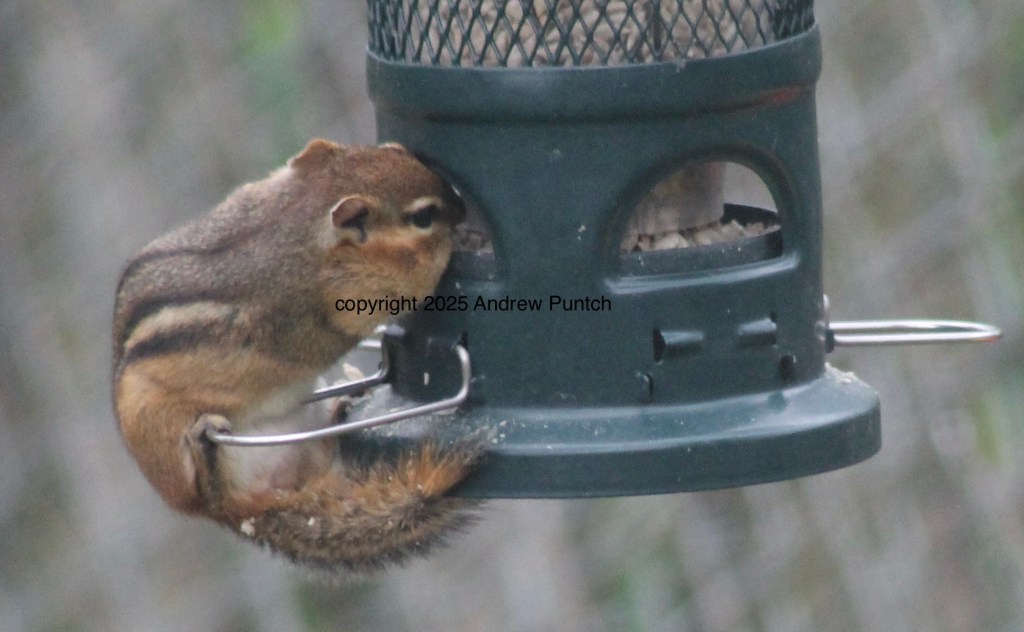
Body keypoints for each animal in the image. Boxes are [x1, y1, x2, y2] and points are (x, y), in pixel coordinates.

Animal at [112, 139, 481, 574]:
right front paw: (445, 249)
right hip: (168, 443)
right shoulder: (320, 311)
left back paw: (340, 407)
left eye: (397, 152)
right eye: (424, 215)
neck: (297, 217)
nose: (462, 211)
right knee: (206, 486)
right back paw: (204, 444)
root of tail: (237, 515)